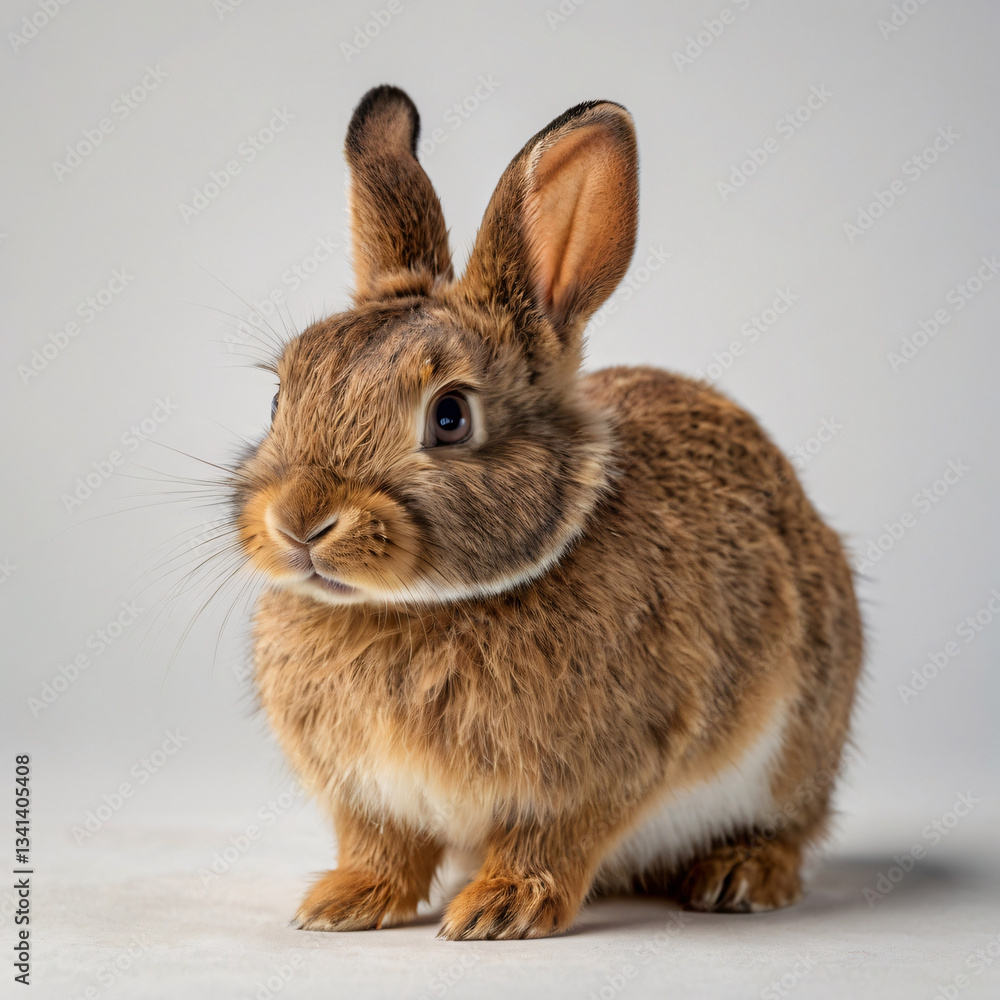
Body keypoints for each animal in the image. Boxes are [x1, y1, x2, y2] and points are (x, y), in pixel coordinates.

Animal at [233, 84, 863, 940]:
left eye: (451, 416)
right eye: (279, 398)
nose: (300, 523)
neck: (418, 607)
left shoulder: (590, 777)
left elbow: (550, 841)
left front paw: (501, 910)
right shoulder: (368, 795)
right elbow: (382, 846)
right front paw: (343, 904)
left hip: (800, 743)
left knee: (791, 829)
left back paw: (738, 875)